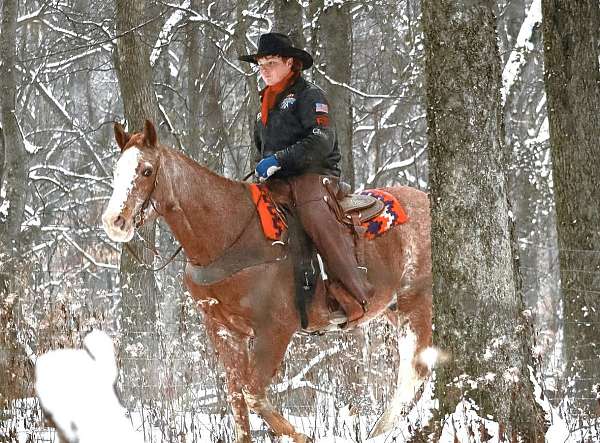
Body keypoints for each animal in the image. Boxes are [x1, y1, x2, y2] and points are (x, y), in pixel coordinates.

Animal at [102, 119, 432, 442]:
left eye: (146, 170)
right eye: (117, 170)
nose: (114, 221)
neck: (229, 234)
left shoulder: (275, 329)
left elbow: (253, 395)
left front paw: (303, 436)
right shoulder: (224, 331)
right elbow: (237, 401)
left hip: (416, 302)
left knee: (414, 371)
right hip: (394, 309)